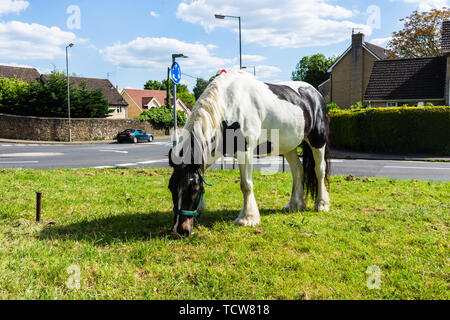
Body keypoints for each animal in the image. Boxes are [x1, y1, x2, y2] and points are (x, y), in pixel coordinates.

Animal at [169, 72, 330, 238]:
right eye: (171, 187)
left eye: (193, 189)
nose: (179, 231)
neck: (228, 104)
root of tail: (315, 93)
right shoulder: (212, 152)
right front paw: (200, 208)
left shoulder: (245, 151)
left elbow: (246, 185)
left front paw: (247, 218)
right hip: (289, 146)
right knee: (298, 170)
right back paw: (294, 205)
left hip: (318, 140)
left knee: (320, 170)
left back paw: (321, 204)